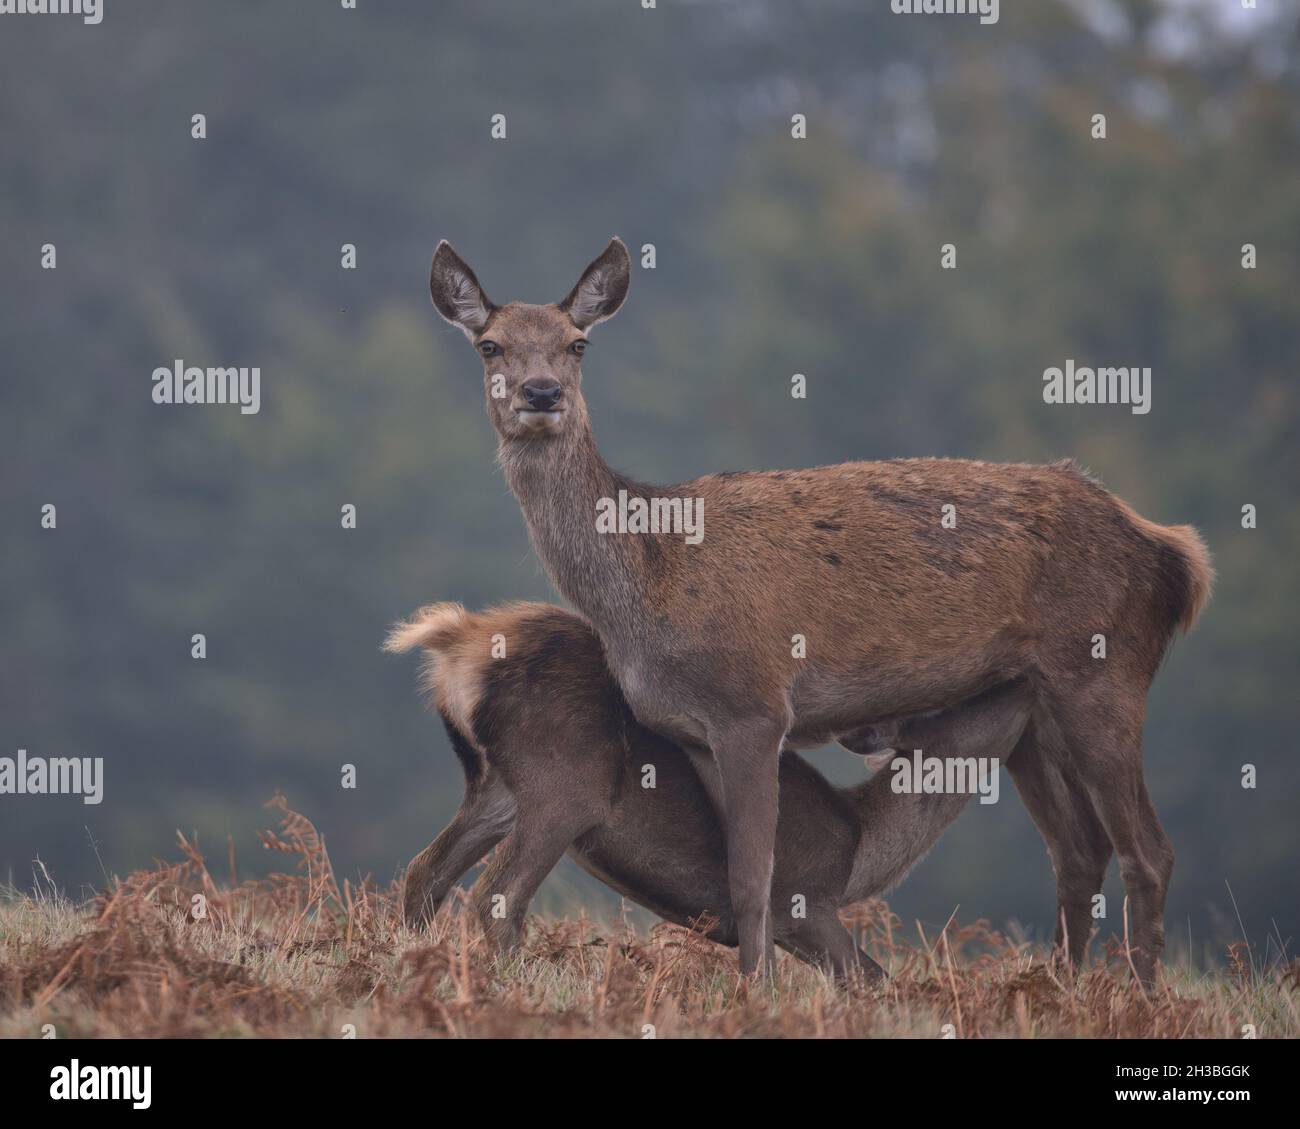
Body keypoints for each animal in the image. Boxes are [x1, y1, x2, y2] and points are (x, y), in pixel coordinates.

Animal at [386, 600, 1034, 978]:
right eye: (952, 700)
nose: (1022, 679)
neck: (861, 848)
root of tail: (460, 642)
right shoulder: (802, 899)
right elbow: (871, 978)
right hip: (565, 780)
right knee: (495, 895)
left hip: (495, 784)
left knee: (424, 873)